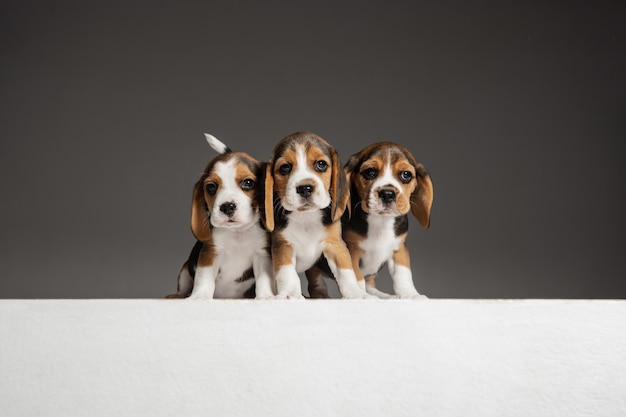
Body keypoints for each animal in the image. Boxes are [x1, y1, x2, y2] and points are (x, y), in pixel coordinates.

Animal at [262, 132, 370, 298]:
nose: (305, 188)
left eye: (321, 164)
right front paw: (290, 294)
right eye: (285, 168)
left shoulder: (335, 244)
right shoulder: (283, 245)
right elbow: (287, 274)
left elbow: (345, 271)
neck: (306, 217)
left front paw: (356, 294)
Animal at [338, 143, 432, 300]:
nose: (387, 193)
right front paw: (361, 295)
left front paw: (410, 295)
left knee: (370, 283)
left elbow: (403, 274)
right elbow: (356, 277)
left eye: (406, 175)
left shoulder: (399, 249)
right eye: (370, 172)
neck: (380, 221)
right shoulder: (351, 251)